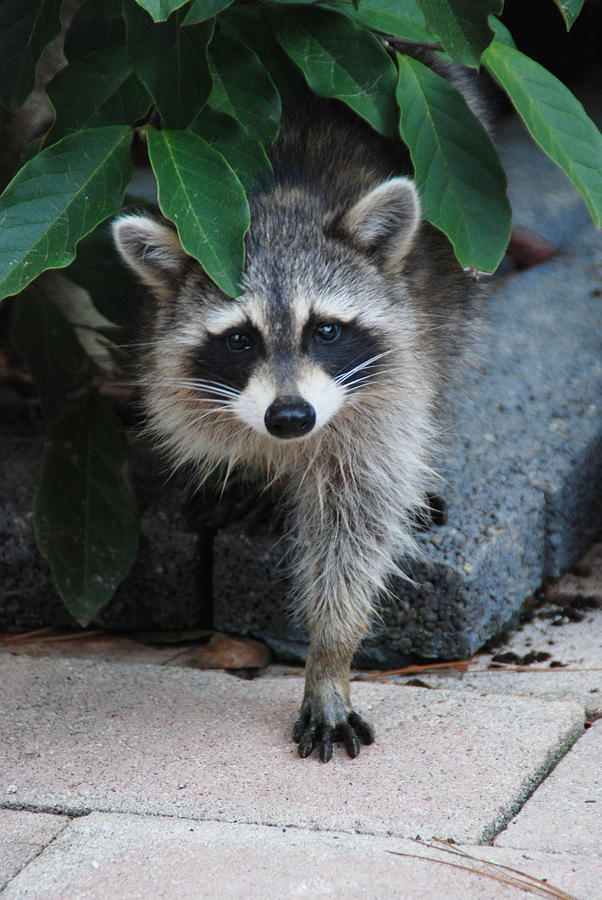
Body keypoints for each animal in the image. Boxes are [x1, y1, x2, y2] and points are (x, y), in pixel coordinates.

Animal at [111, 84, 478, 764]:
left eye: (325, 331)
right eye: (239, 340)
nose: (289, 417)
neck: (279, 203)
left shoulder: (380, 397)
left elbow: (359, 520)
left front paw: (331, 655)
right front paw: (256, 470)